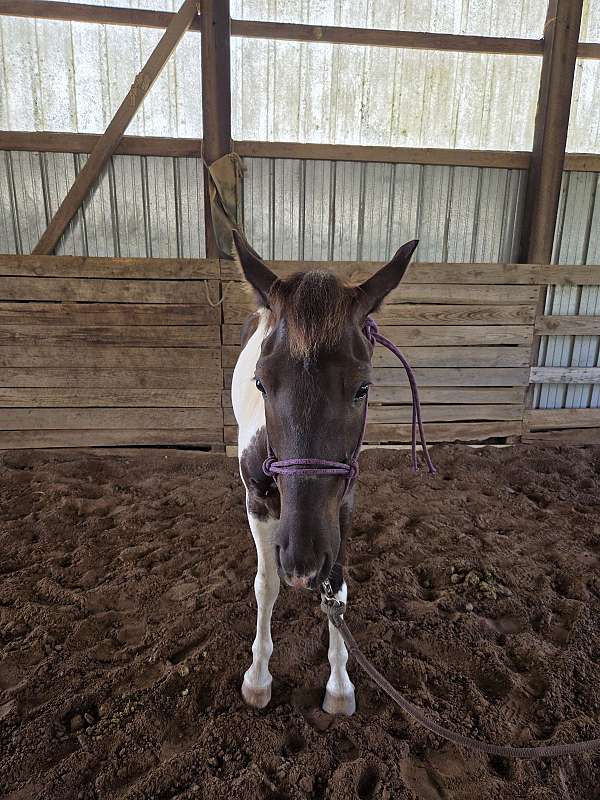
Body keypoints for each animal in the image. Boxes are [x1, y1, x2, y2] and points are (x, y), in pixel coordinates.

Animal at [231, 230, 419, 716]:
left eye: (363, 387)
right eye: (261, 382)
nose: (303, 560)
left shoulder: (344, 502)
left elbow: (337, 590)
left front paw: (338, 686)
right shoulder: (257, 503)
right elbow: (266, 585)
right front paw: (258, 678)